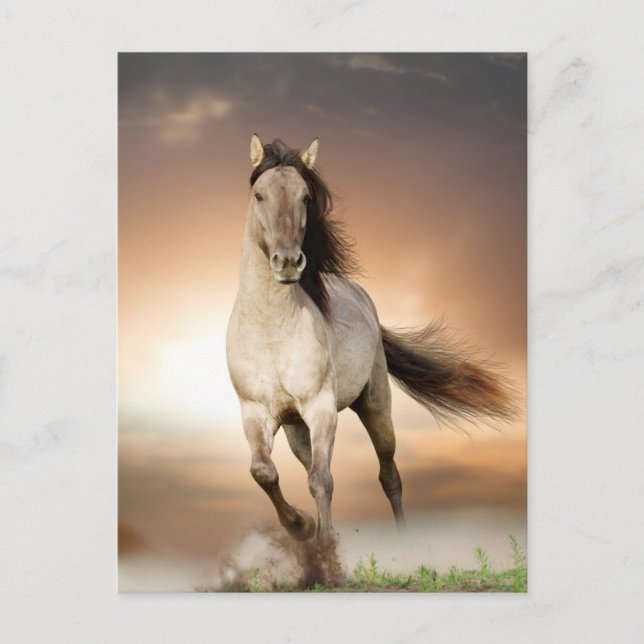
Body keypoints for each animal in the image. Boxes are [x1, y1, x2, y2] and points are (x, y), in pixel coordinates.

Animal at [226, 135, 515, 548]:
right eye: (259, 195)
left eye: (305, 197)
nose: (288, 262)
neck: (270, 331)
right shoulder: (255, 412)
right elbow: (264, 473)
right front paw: (302, 526)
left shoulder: (321, 408)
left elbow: (322, 480)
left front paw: (325, 549)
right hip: (297, 427)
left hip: (375, 405)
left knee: (388, 475)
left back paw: (403, 542)